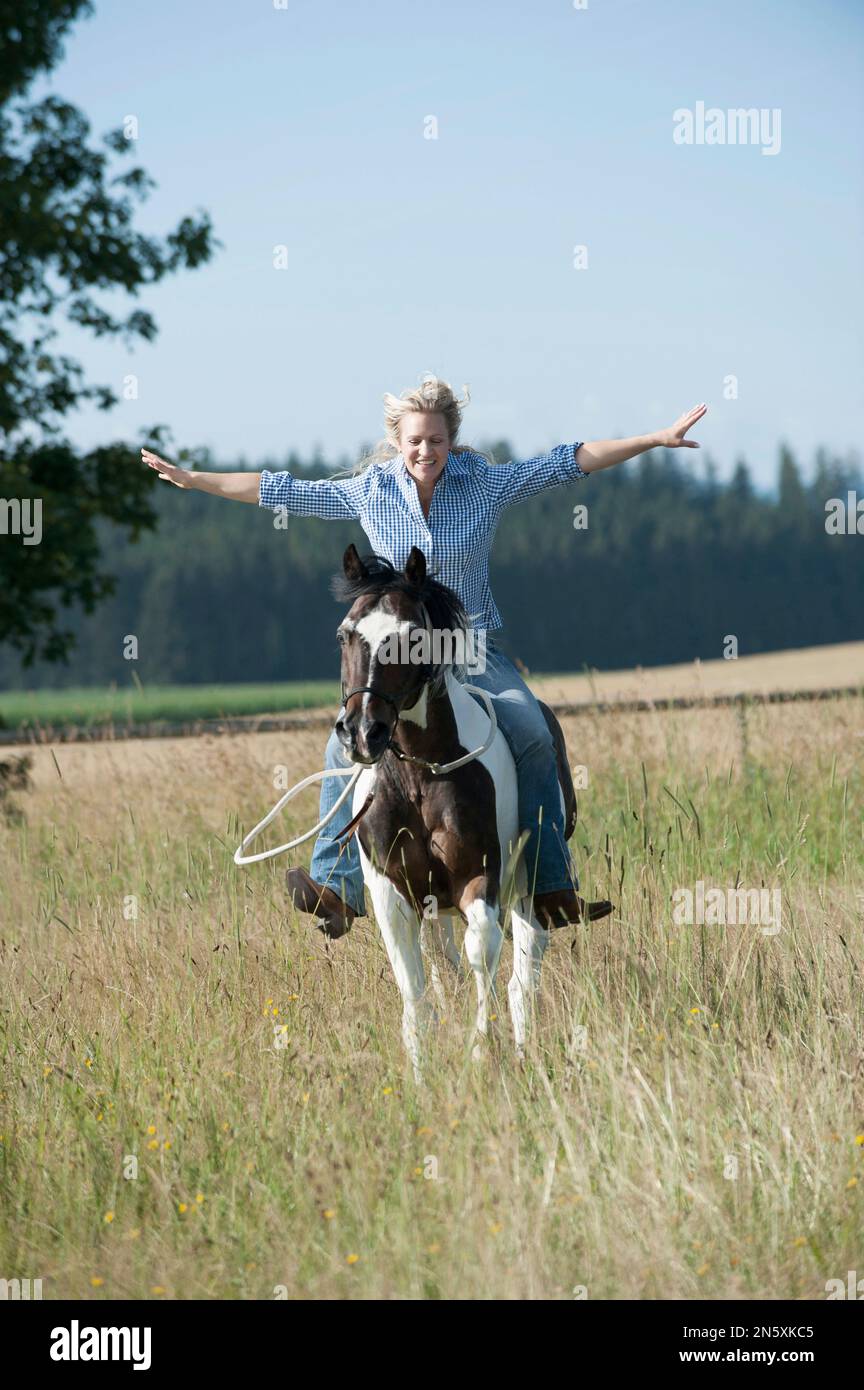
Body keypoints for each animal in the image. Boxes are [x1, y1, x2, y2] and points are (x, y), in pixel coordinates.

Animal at [332, 542, 588, 1076]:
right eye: (345, 634)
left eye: (411, 637)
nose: (362, 732)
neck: (418, 775)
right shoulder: (392, 892)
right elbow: (414, 984)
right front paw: (420, 1070)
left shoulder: (481, 875)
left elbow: (482, 954)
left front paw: (479, 1051)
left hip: (527, 888)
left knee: (522, 976)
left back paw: (522, 1047)